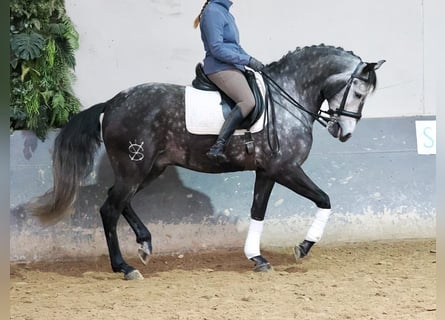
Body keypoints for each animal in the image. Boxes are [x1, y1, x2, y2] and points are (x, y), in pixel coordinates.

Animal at [33, 45, 384, 280]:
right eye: (358, 93)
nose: (344, 132)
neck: (288, 98)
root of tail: (111, 103)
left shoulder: (266, 171)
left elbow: (259, 211)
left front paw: (257, 257)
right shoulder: (285, 169)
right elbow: (324, 199)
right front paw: (301, 247)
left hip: (149, 169)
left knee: (119, 202)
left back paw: (145, 245)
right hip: (135, 168)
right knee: (109, 209)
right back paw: (125, 267)